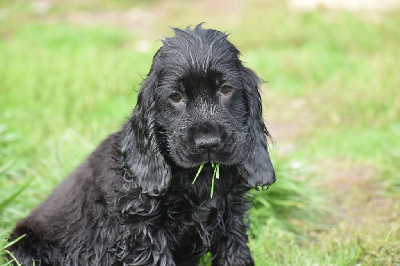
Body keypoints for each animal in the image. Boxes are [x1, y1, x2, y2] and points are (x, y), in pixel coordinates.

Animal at [7, 23, 276, 264]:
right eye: (176, 97)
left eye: (226, 90)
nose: (208, 143)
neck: (199, 177)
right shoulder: (142, 232)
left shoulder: (232, 218)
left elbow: (236, 255)